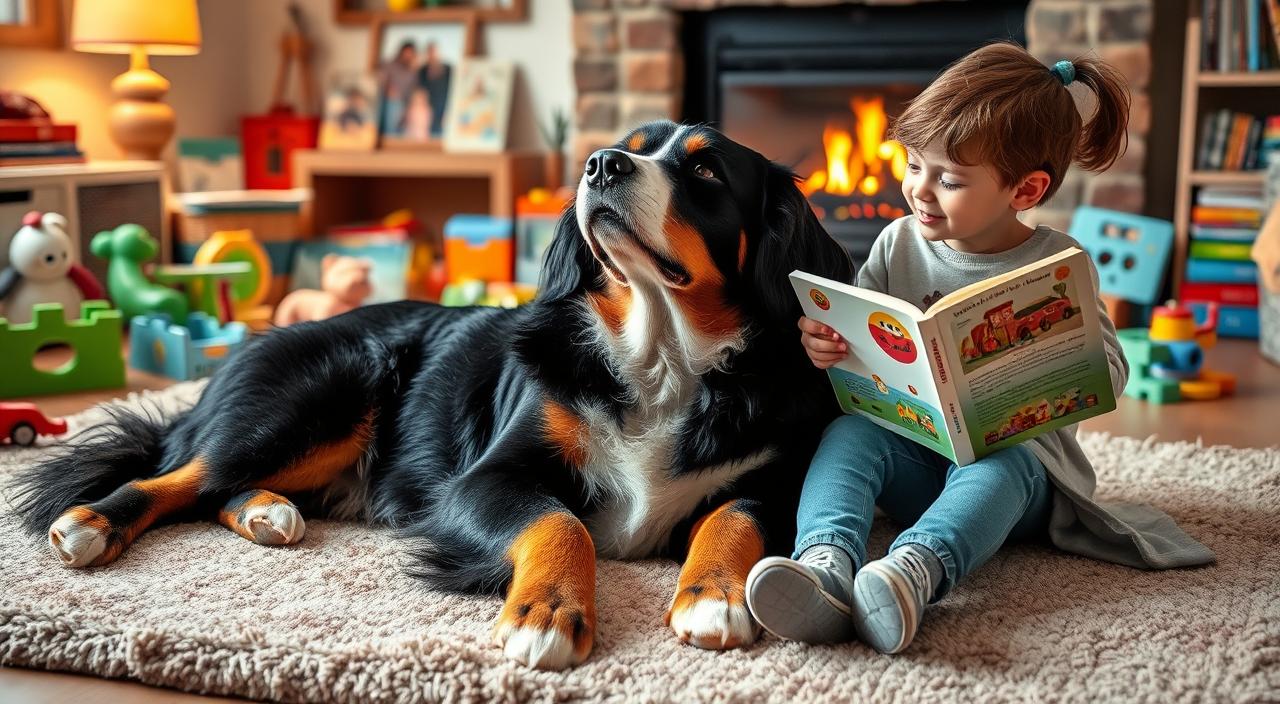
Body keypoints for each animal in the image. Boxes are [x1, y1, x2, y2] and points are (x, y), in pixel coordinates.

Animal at [10, 121, 855, 675]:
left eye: (707, 173)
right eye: (634, 142)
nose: (601, 164)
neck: (660, 357)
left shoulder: (773, 480)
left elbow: (731, 516)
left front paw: (713, 595)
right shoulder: (483, 479)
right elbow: (559, 522)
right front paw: (547, 612)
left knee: (214, 489)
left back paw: (265, 514)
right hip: (313, 399)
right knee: (179, 476)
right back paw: (91, 522)